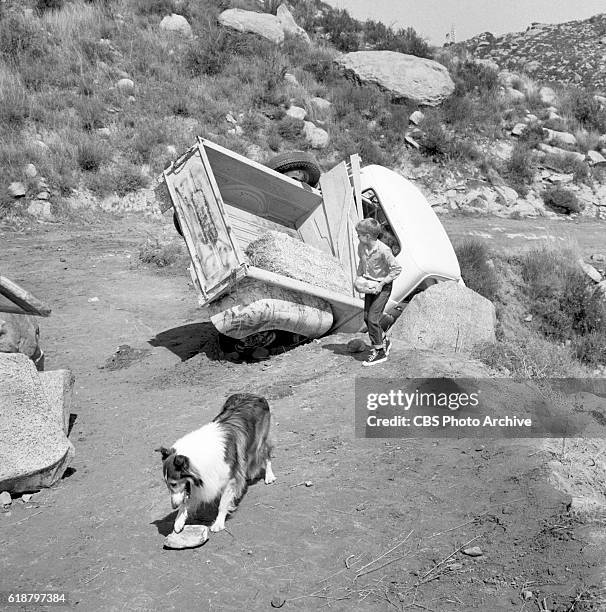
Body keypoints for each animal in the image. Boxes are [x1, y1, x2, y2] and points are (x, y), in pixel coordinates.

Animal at [159, 396, 278, 536]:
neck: (200, 454)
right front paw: (179, 521)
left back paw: (269, 476)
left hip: (259, 443)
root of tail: (256, 395)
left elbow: (222, 504)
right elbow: (186, 501)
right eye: (168, 485)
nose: (173, 506)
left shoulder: (228, 480)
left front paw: (218, 523)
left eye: (173, 484)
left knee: (267, 455)